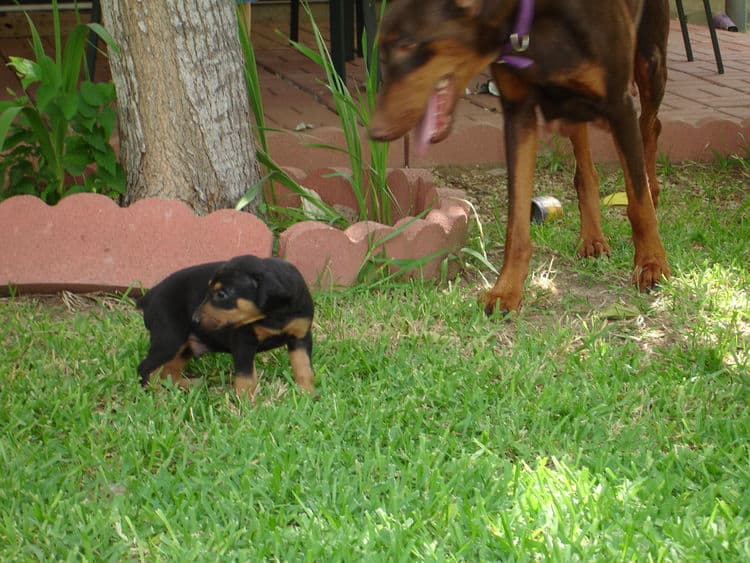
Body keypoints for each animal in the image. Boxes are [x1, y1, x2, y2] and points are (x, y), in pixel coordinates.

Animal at [137, 256, 316, 400]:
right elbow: (246, 377)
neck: (275, 315)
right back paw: (159, 396)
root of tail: (148, 297)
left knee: (168, 372)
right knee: (145, 368)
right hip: (170, 339)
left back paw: (190, 386)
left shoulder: (301, 337)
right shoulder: (244, 341)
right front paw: (246, 403)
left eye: (221, 294)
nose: (195, 320)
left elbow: (304, 368)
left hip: (184, 346)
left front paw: (307, 394)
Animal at [374, 0, 672, 312]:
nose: (375, 131)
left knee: (651, 127)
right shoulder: (519, 111)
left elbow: (638, 202)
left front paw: (651, 264)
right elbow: (516, 221)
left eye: (408, 43)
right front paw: (506, 290)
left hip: (650, 63)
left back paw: (652, 191)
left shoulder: (618, 105)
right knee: (586, 169)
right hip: (571, 104)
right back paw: (592, 238)